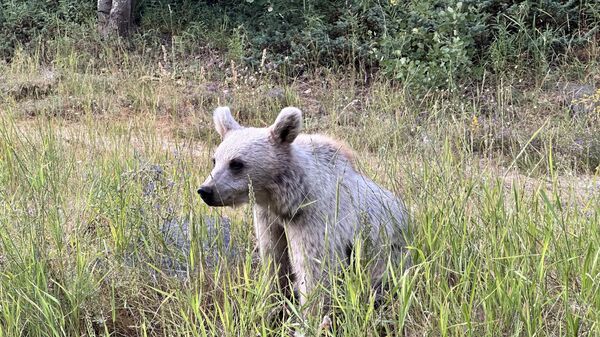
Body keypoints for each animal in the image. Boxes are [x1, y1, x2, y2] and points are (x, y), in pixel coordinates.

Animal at [197, 107, 408, 318]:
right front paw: (271, 305)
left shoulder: (314, 220)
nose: (206, 190)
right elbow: (274, 261)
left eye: (236, 163)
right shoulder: (268, 218)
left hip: (387, 255)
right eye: (215, 159)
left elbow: (314, 270)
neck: (288, 200)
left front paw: (309, 316)